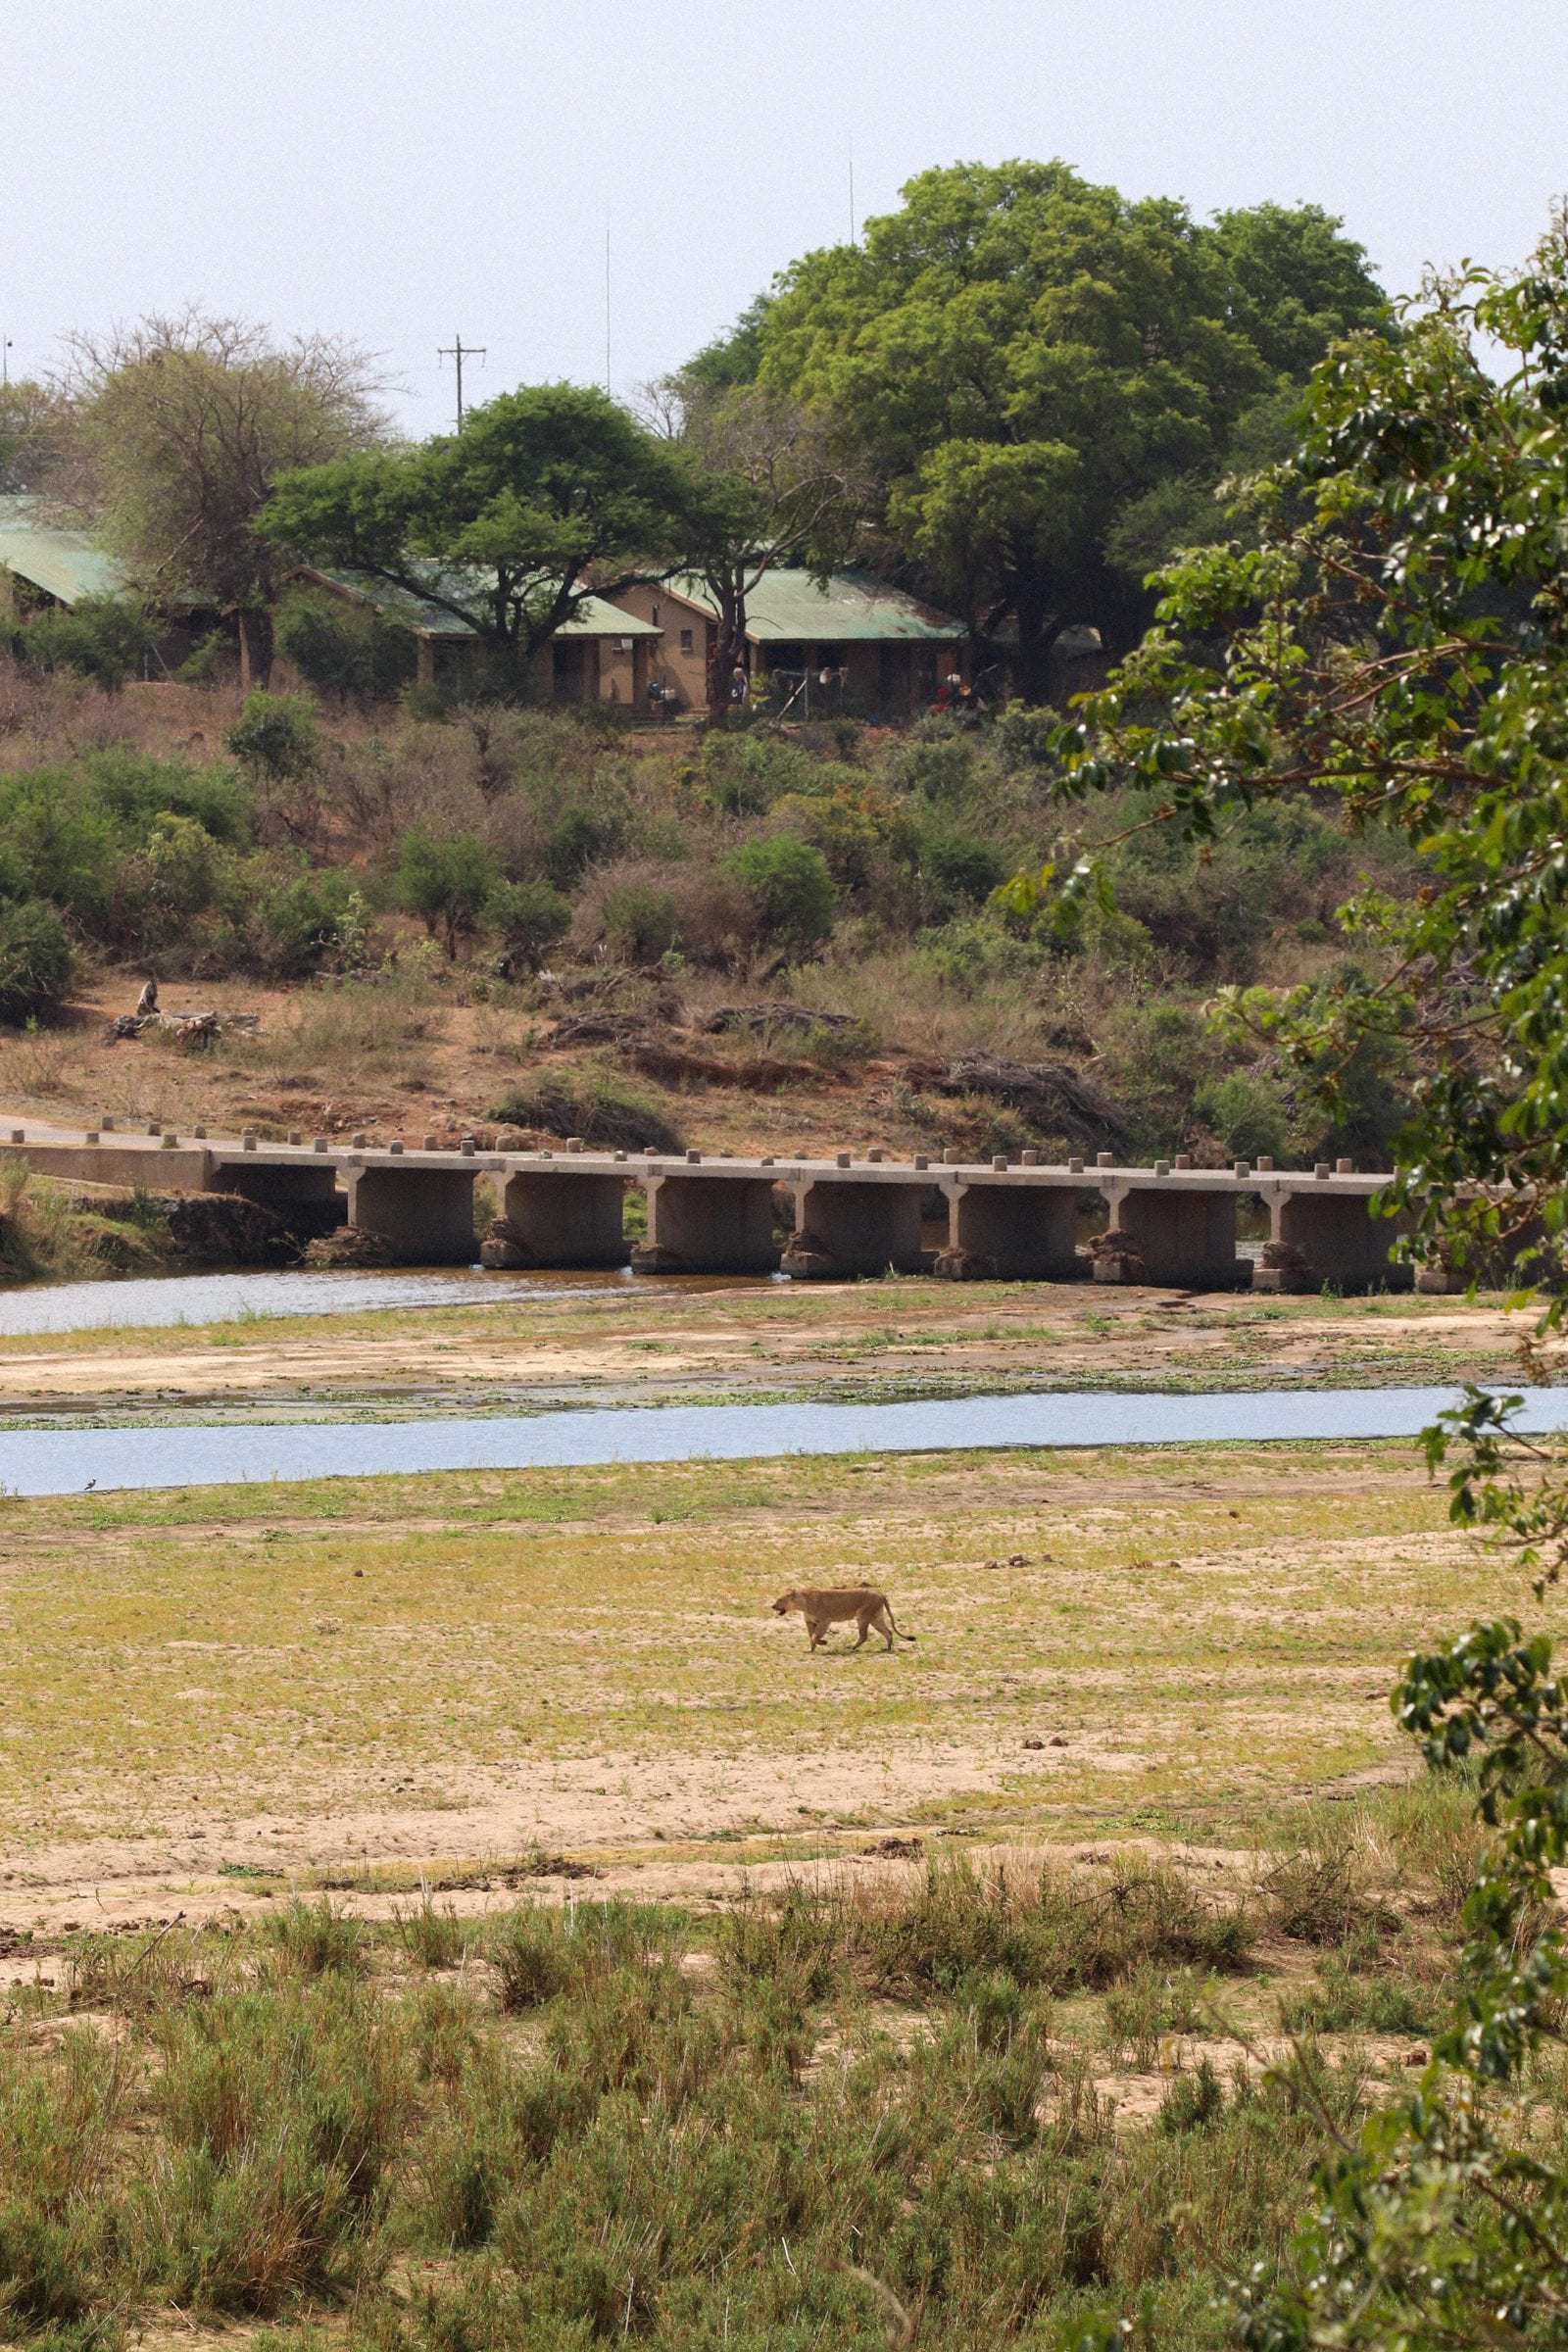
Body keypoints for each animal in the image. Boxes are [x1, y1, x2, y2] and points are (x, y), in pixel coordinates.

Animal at [771, 1586, 915, 1653]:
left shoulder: (825, 1620)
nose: (772, 1606)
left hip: (863, 1616)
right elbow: (811, 1637)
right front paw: (811, 1650)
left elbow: (815, 1636)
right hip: (876, 1618)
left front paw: (824, 1642)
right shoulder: (809, 1622)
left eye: (780, 1600)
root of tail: (881, 1594)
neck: (802, 1604)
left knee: (864, 1636)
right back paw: (887, 1648)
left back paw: (851, 1647)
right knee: (888, 1632)